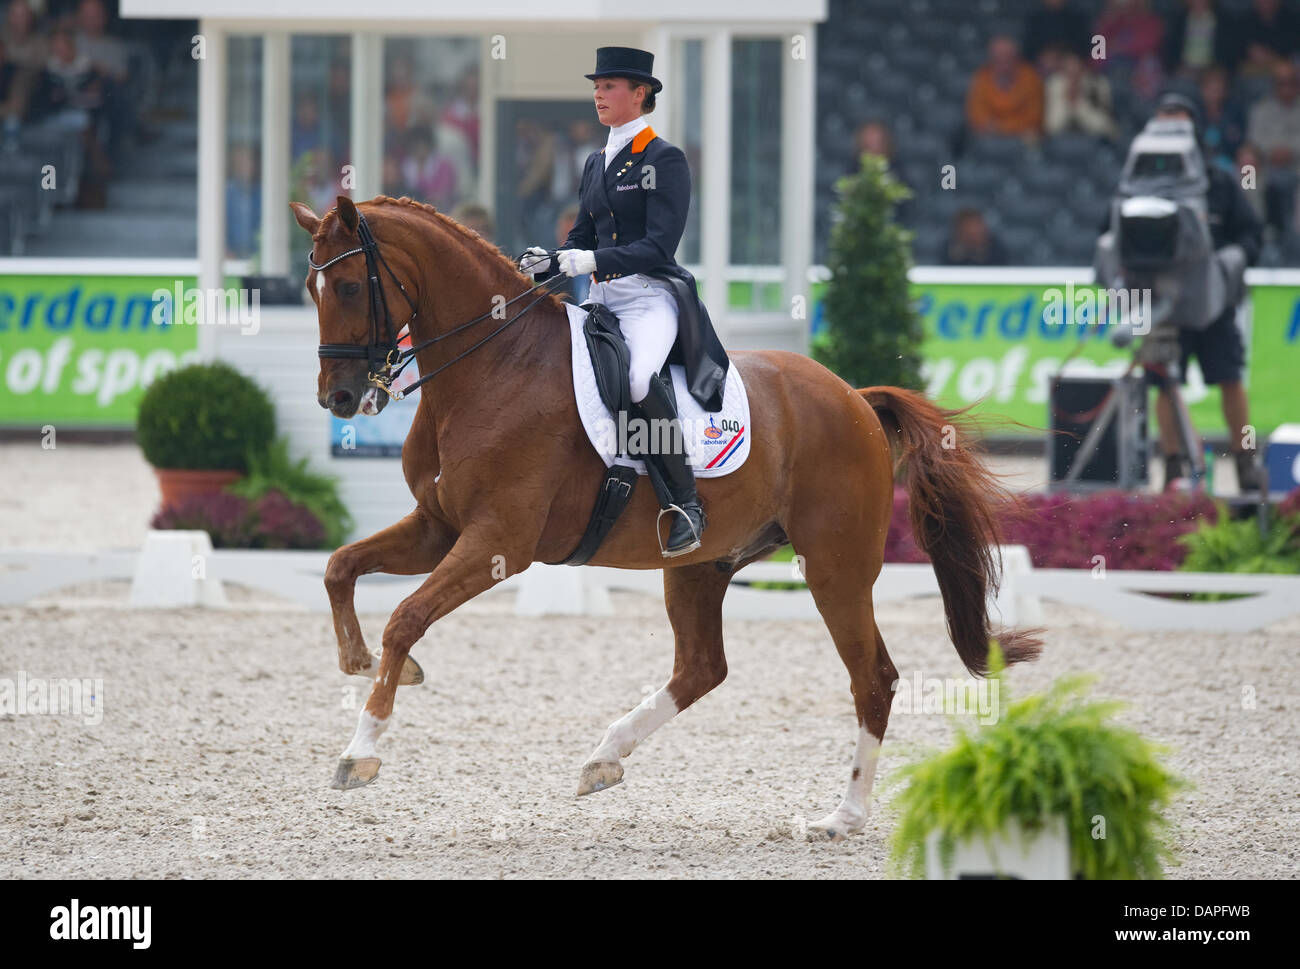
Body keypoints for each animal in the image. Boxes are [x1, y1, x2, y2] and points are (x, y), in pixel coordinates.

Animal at [289, 192, 1040, 837]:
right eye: (310, 290)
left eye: (349, 286)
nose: (339, 397)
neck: (494, 367)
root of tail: (854, 396)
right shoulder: (438, 527)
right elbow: (339, 568)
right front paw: (365, 662)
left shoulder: (496, 541)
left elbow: (406, 616)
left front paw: (360, 750)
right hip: (702, 563)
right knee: (703, 667)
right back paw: (604, 756)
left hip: (835, 567)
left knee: (872, 677)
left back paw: (843, 816)